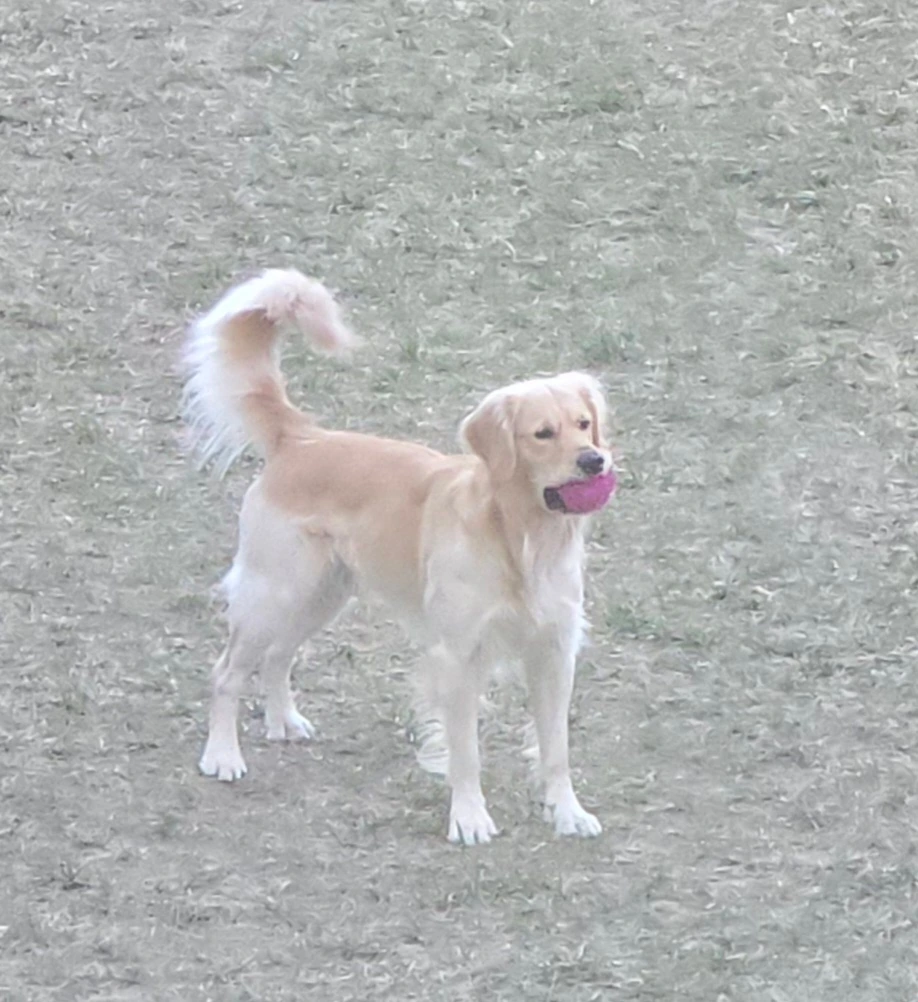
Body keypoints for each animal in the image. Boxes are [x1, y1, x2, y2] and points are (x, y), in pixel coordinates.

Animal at [183, 269, 616, 844]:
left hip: (323, 593)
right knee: (227, 670)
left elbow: (557, 749)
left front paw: (567, 812)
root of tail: (303, 437)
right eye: (543, 434)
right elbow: (466, 751)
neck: (523, 537)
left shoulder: (555, 651)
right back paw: (223, 755)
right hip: (275, 590)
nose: (594, 461)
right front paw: (469, 818)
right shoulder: (458, 657)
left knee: (278, 656)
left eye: (585, 423)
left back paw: (284, 722)